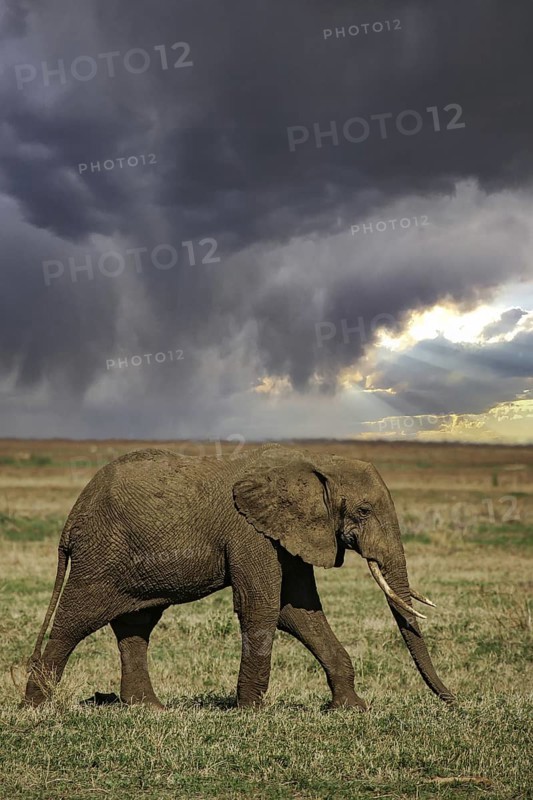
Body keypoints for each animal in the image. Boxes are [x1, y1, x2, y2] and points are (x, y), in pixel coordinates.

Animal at [24, 443, 454, 709]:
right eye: (363, 511)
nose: (453, 701)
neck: (314, 460)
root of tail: (71, 517)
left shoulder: (287, 533)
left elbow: (299, 611)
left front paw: (351, 709)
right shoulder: (250, 533)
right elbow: (262, 607)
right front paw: (251, 711)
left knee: (136, 626)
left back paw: (150, 709)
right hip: (98, 556)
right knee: (73, 622)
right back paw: (38, 709)